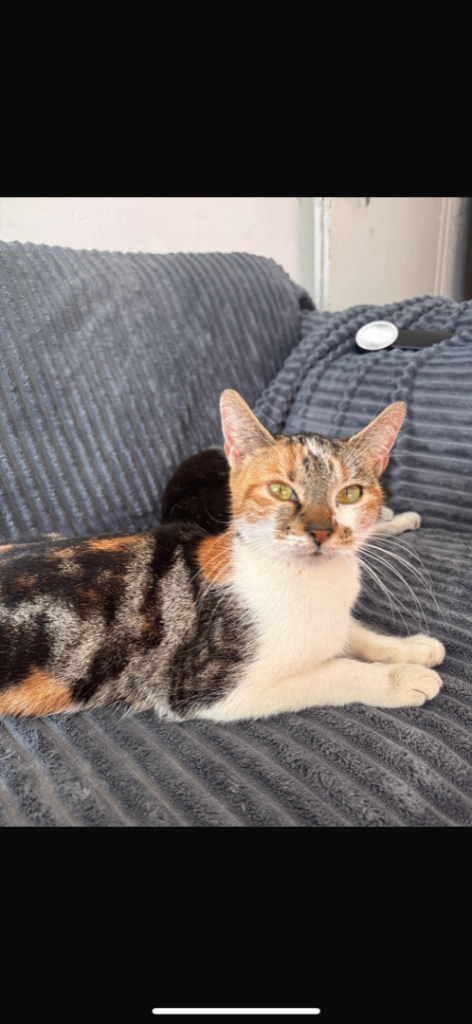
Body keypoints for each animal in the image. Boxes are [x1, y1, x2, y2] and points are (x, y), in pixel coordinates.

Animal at [0, 390, 444, 720]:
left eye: (350, 494)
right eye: (281, 490)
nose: (320, 530)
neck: (310, 581)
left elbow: (351, 631)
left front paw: (409, 648)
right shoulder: (206, 684)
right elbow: (333, 669)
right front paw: (399, 678)